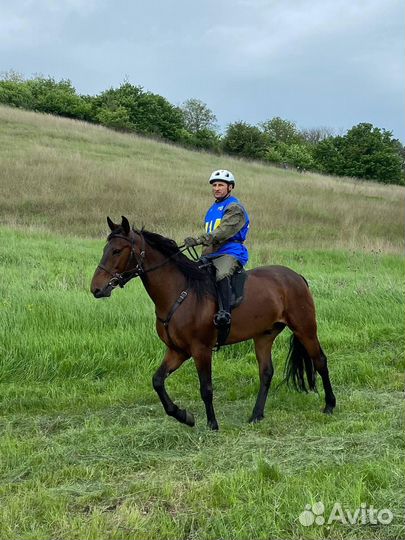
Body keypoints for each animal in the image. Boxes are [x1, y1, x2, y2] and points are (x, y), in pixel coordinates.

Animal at [90, 215, 334, 430]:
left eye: (117, 250)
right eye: (106, 250)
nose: (96, 289)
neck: (180, 292)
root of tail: (297, 277)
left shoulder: (201, 350)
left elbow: (206, 388)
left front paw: (212, 424)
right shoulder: (177, 351)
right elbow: (157, 381)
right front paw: (183, 416)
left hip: (305, 328)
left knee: (320, 361)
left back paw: (330, 405)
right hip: (264, 336)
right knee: (266, 373)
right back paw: (256, 415)